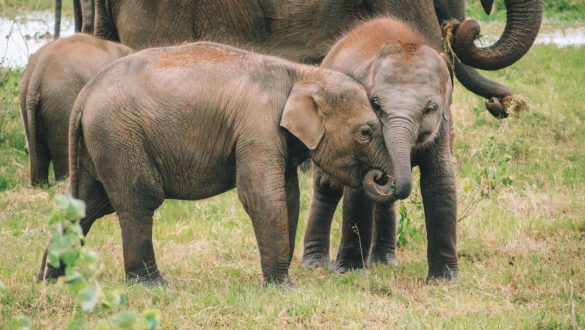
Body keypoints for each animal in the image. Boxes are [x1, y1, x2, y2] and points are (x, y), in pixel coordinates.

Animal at [35, 40, 392, 284]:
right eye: (366, 131)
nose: (378, 177)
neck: (301, 73)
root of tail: (84, 96)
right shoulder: (257, 126)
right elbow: (260, 195)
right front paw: (282, 286)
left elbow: (289, 196)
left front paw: (281, 279)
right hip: (119, 136)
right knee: (138, 200)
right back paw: (153, 285)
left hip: (99, 143)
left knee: (87, 205)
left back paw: (51, 279)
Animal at [304, 17, 458, 282]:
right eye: (375, 104)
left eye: (429, 109)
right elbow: (357, 189)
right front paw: (351, 272)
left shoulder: (443, 124)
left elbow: (440, 181)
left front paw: (444, 280)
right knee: (326, 186)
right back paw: (315, 265)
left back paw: (384, 262)